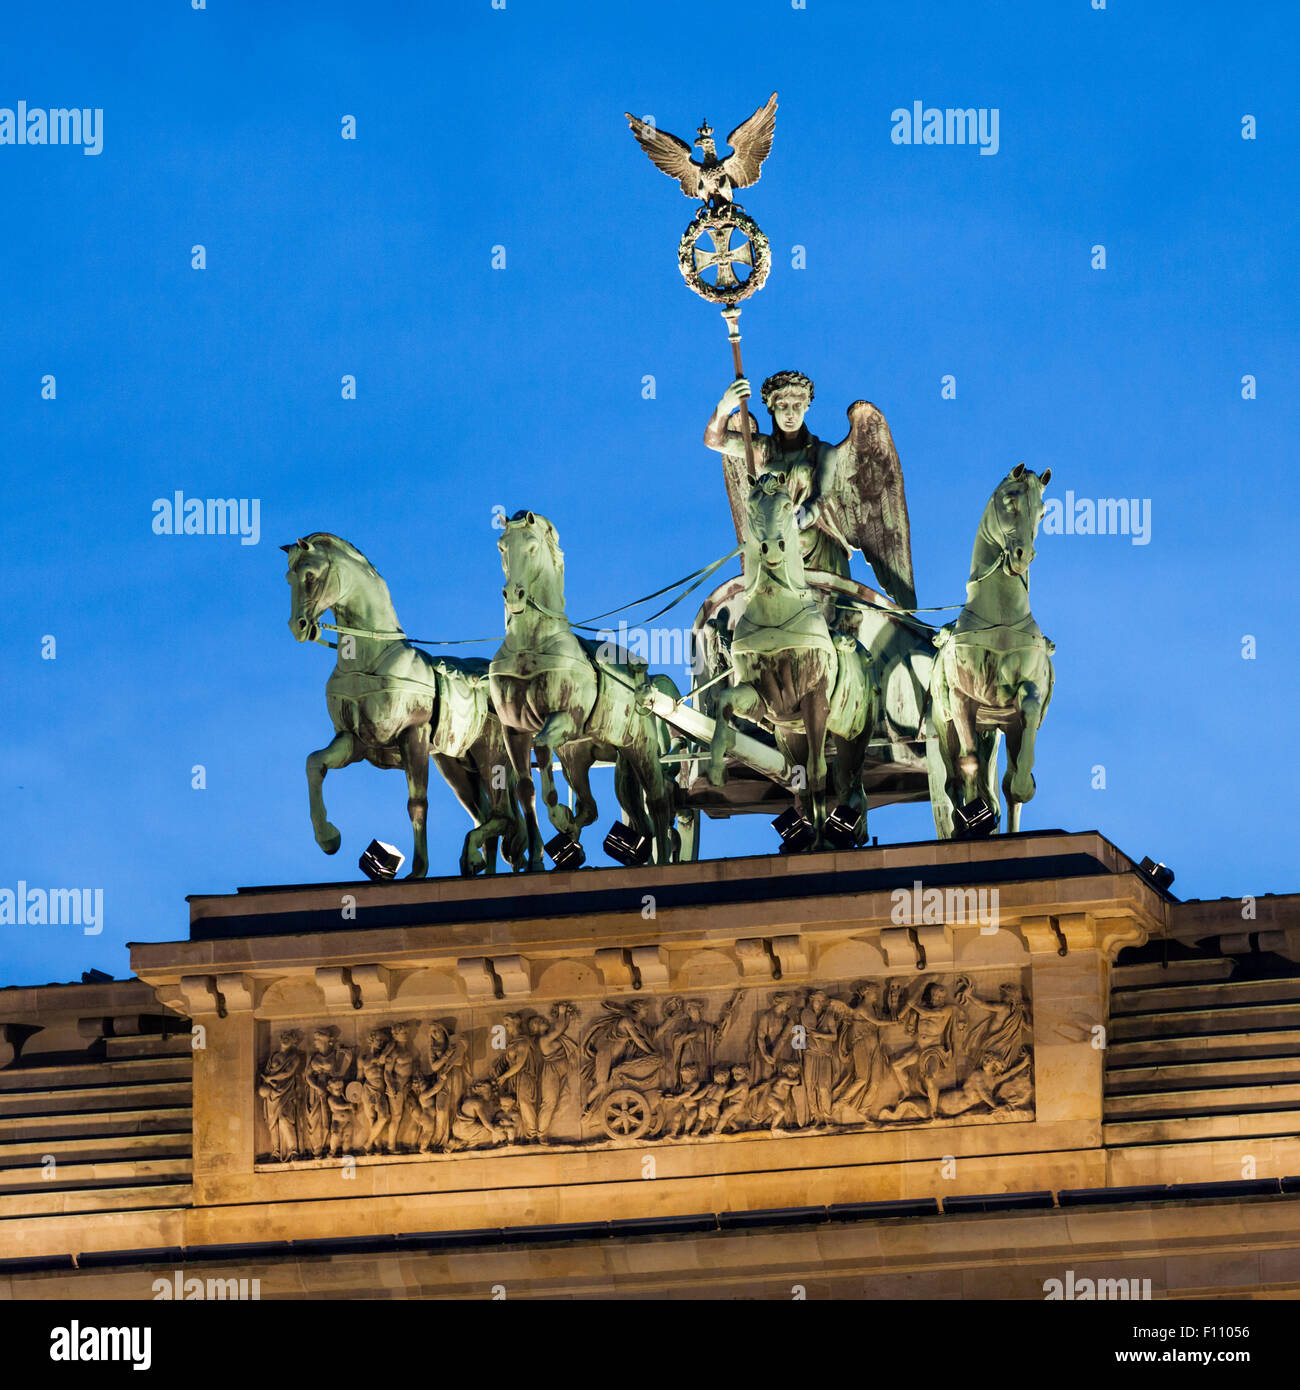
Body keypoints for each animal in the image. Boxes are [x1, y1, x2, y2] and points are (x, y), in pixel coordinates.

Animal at [286, 533, 528, 878]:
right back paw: (479, 861)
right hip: (455, 765)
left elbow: (417, 802)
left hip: (490, 755)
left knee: (503, 815)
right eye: (288, 577)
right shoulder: (354, 741)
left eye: (309, 575)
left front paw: (418, 870)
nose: (299, 626)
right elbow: (314, 763)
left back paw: (474, 855)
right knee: (489, 817)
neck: (369, 657)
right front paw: (329, 838)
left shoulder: (413, 735)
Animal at [489, 511, 681, 867]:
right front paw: (537, 858)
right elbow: (525, 788)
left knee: (659, 800)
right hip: (577, 756)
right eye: (501, 546)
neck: (531, 644)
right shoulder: (514, 730)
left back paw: (663, 860)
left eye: (532, 546)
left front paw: (558, 816)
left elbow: (542, 750)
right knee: (592, 808)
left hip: (641, 747)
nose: (514, 594)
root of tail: (648, 679)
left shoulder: (563, 718)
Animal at [706, 472, 878, 845]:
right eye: (752, 504)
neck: (776, 613)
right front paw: (715, 766)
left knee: (850, 782)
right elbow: (725, 701)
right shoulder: (762, 699)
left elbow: (818, 770)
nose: (772, 548)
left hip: (854, 732)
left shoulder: (815, 699)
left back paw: (846, 828)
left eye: (787, 505)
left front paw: (821, 841)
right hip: (789, 737)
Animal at [928, 467, 1051, 834]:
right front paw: (975, 814)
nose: (1024, 554)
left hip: (998, 729)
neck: (1000, 619)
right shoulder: (961, 699)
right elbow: (968, 765)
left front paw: (1022, 785)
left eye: (1043, 512)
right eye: (1010, 499)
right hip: (946, 726)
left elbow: (1016, 776)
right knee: (956, 779)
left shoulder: (1025, 700)